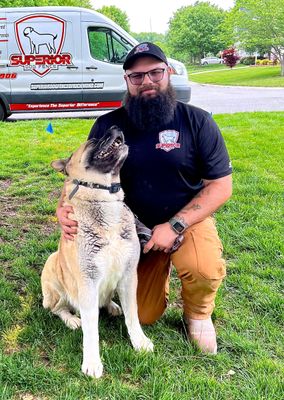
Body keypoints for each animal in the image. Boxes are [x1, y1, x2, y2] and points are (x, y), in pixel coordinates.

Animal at [40, 126, 153, 378]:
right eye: (92, 140)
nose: (115, 128)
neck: (104, 200)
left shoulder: (129, 276)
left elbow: (133, 314)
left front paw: (139, 341)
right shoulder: (88, 281)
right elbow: (91, 327)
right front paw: (92, 361)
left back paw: (111, 305)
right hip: (53, 271)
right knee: (57, 309)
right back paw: (71, 319)